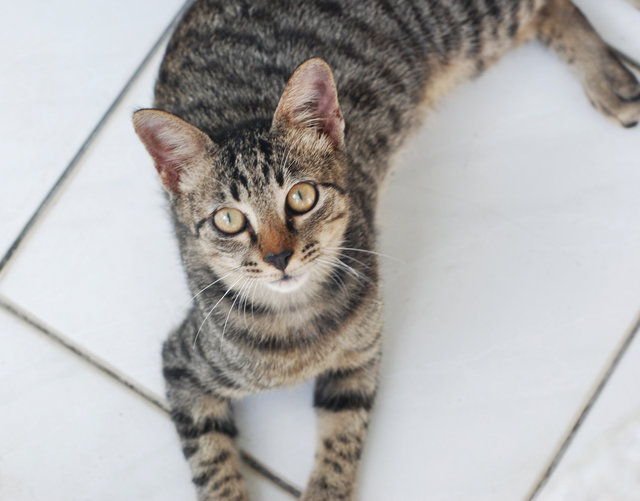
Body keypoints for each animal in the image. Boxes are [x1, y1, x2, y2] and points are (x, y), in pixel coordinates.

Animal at [131, 0, 640, 498]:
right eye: (229, 220)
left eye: (301, 196)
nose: (278, 257)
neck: (298, 320)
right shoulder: (183, 367)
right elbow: (214, 468)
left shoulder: (361, 356)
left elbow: (341, 446)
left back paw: (610, 80)